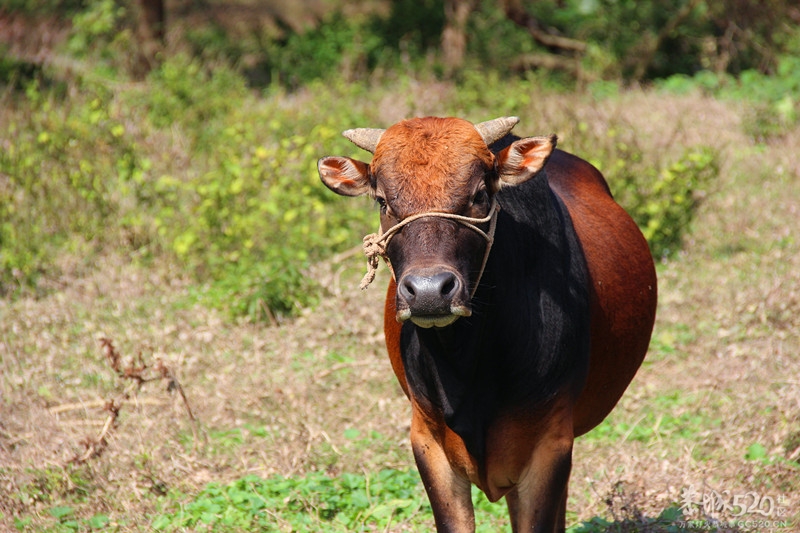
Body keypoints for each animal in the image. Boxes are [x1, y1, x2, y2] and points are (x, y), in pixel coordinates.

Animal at [318, 117, 656, 532]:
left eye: (480, 194)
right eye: (382, 200)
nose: (429, 291)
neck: (466, 367)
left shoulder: (549, 447)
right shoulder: (427, 442)